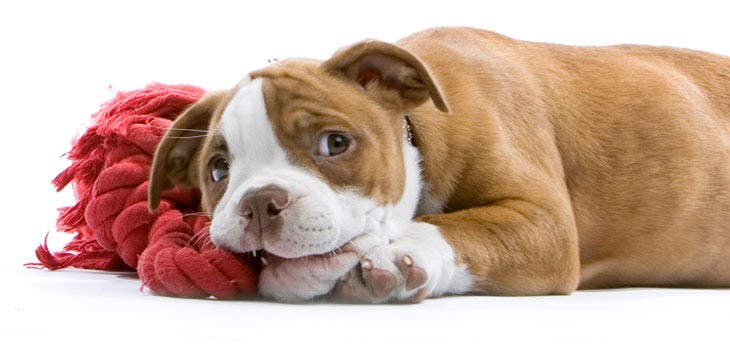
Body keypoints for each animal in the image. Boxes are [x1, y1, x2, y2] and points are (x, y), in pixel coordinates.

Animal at [148, 27, 728, 302]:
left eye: (335, 144)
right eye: (218, 172)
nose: (260, 202)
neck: (419, 130)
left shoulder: (543, 222)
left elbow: (455, 225)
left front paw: (401, 251)